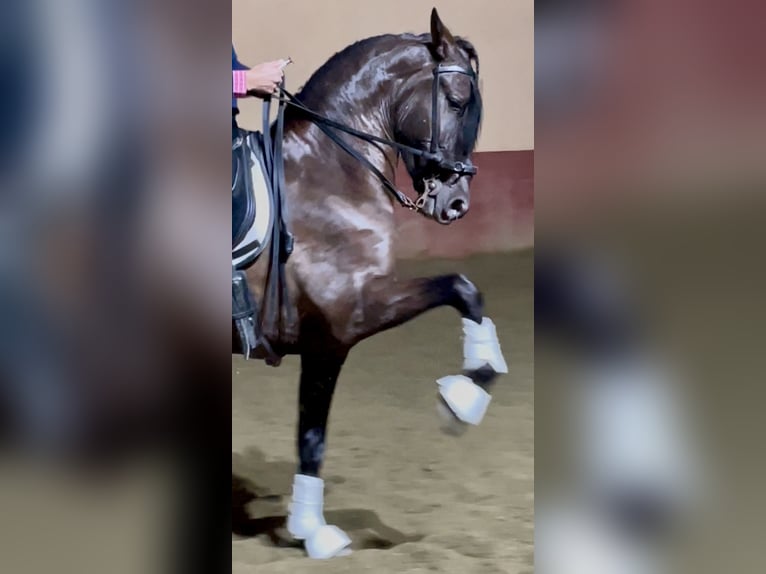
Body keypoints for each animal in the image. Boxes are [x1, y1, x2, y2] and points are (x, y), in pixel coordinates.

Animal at [233, 8, 509, 559]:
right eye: (456, 100)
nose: (456, 204)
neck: (328, 172)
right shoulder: (349, 318)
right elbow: (460, 286)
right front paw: (465, 396)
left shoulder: (329, 340)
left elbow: (312, 433)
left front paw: (309, 528)